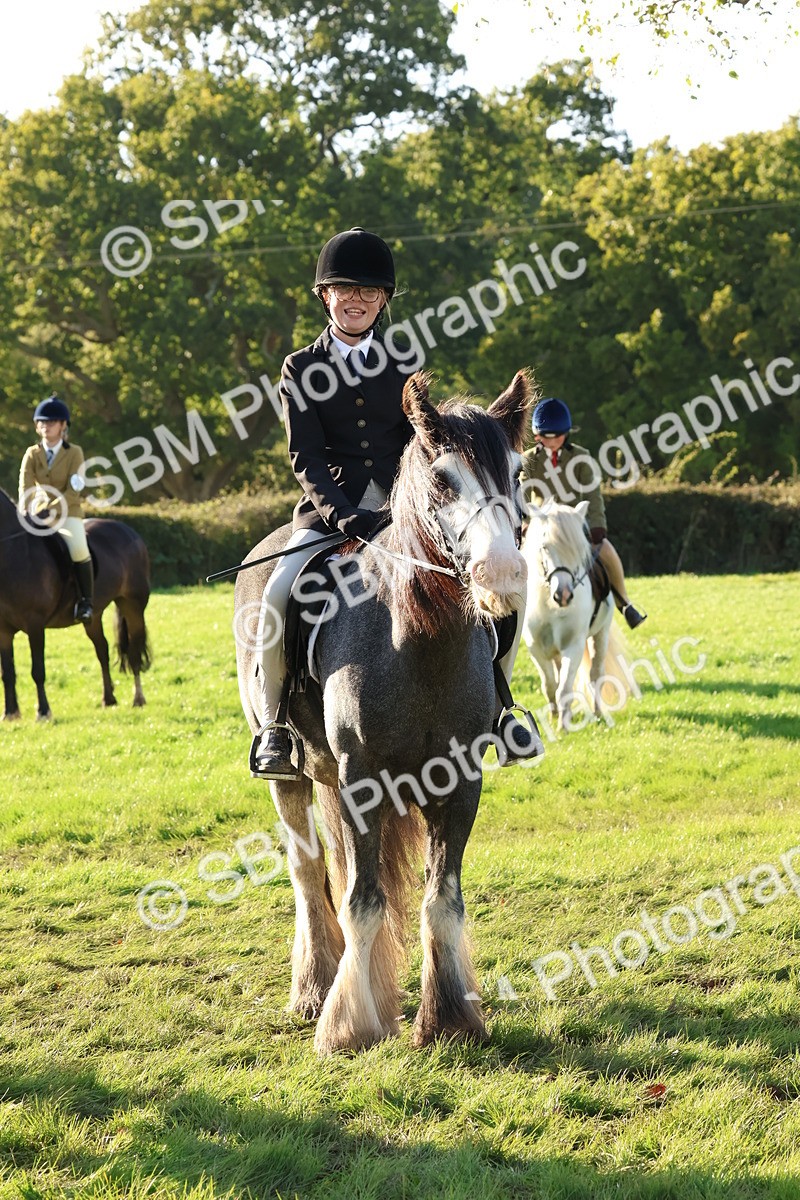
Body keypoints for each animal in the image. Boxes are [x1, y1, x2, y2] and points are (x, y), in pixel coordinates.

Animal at [0, 487, 152, 720]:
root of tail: (128, 531)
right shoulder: (3, 630)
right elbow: (8, 672)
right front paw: (10, 713)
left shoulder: (35, 625)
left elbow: (37, 670)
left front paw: (43, 712)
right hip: (94, 616)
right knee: (102, 651)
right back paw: (108, 699)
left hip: (132, 605)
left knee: (134, 651)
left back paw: (138, 699)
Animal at [235, 370, 532, 1054]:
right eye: (443, 479)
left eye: (518, 472)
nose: (503, 577)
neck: (417, 640)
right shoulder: (362, 780)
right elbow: (362, 900)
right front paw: (349, 1026)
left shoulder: (460, 782)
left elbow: (440, 898)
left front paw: (448, 1018)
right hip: (293, 776)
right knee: (309, 871)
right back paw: (315, 988)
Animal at [520, 499, 615, 731]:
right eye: (545, 547)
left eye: (578, 549)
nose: (563, 595)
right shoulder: (536, 647)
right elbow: (550, 684)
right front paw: (554, 716)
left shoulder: (574, 645)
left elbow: (564, 688)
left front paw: (563, 726)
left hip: (601, 633)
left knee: (595, 674)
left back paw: (597, 713)